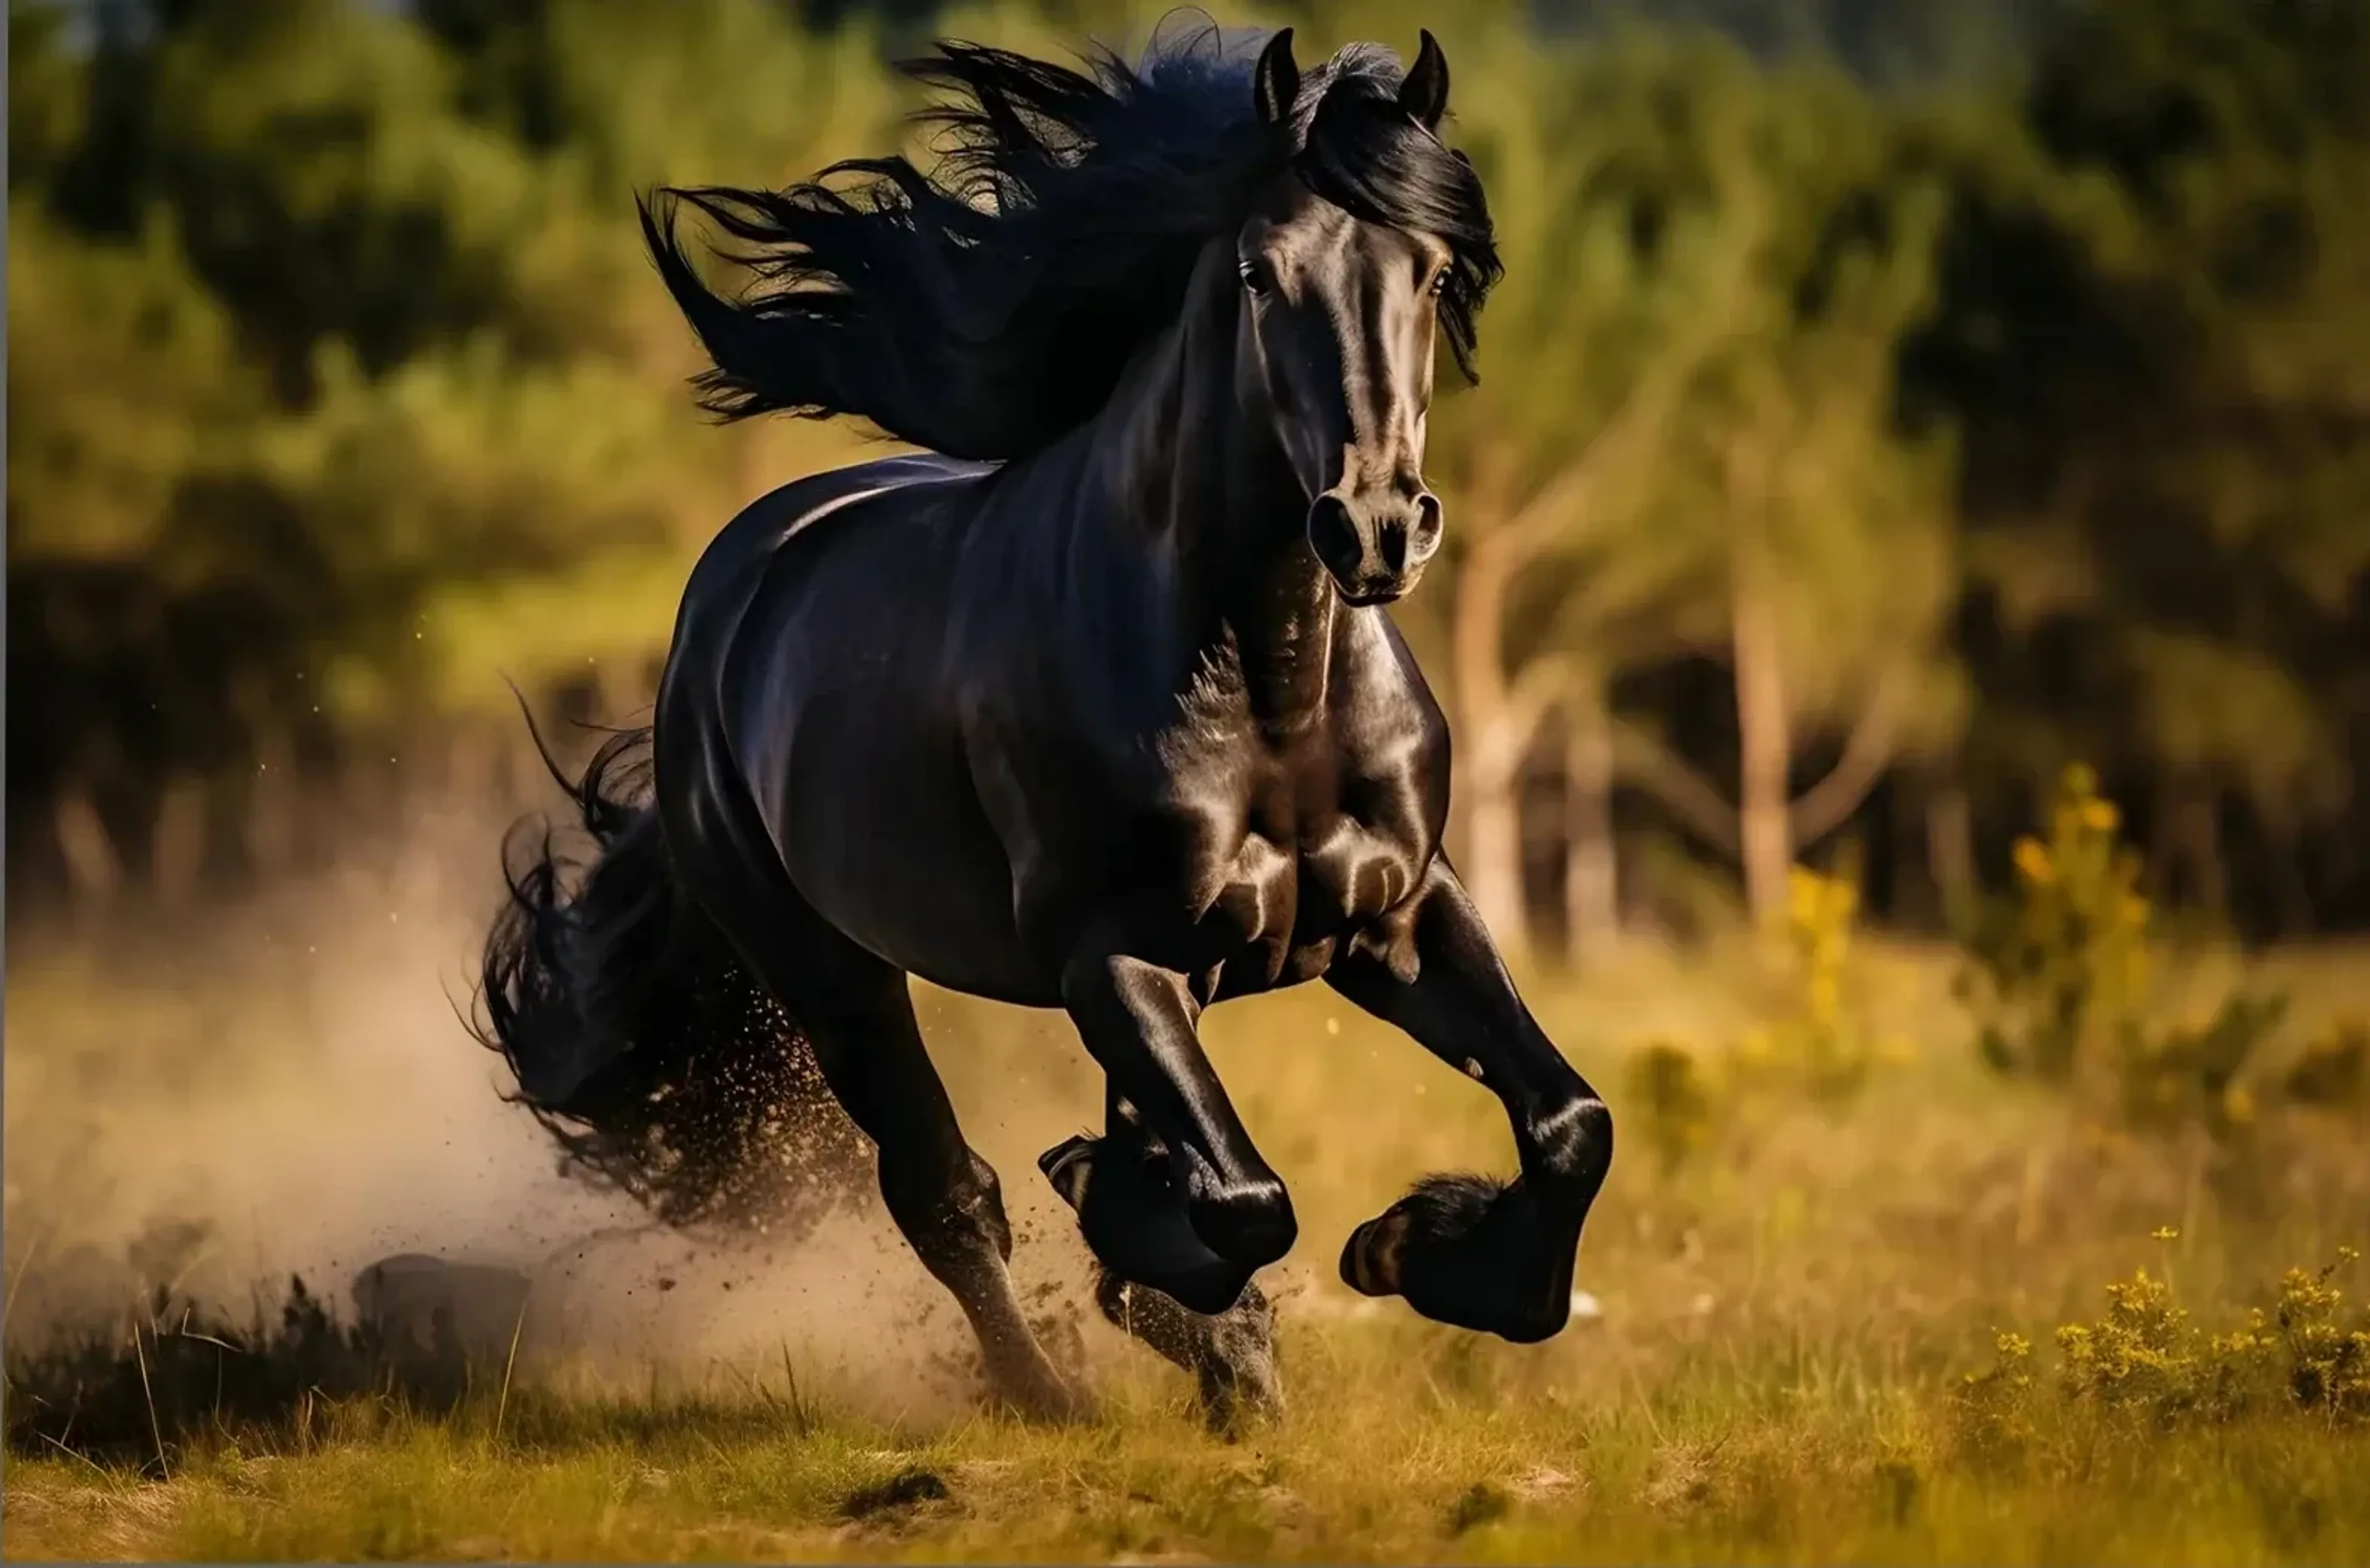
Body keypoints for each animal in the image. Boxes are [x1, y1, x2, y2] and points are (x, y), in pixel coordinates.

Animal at [475, 18, 1613, 1427]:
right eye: (1260, 271)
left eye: (1436, 266)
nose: (1376, 527)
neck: (1272, 691)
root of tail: (723, 606)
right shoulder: (1106, 953)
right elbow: (1244, 1197)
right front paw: (1167, 1243)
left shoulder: (1395, 918)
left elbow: (1569, 1123)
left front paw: (1412, 1253)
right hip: (831, 969)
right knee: (945, 1191)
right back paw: (1053, 1385)